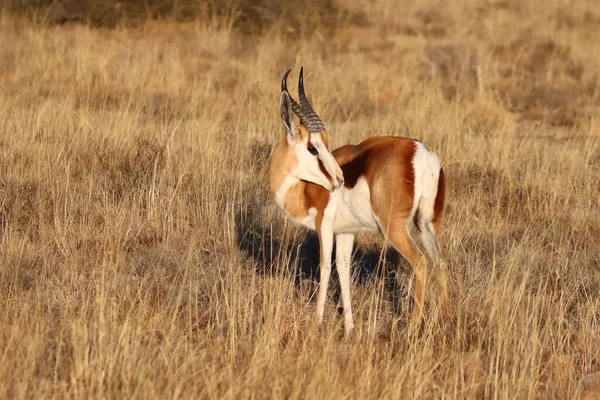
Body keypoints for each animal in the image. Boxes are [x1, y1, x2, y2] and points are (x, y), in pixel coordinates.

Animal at [270, 69, 448, 334]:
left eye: (321, 145)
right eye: (313, 147)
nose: (339, 179)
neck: (303, 188)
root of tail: (423, 154)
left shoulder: (324, 226)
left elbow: (325, 266)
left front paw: (317, 322)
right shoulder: (346, 231)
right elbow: (343, 269)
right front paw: (350, 326)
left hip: (395, 228)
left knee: (422, 264)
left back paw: (414, 327)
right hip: (427, 225)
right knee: (440, 264)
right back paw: (449, 318)